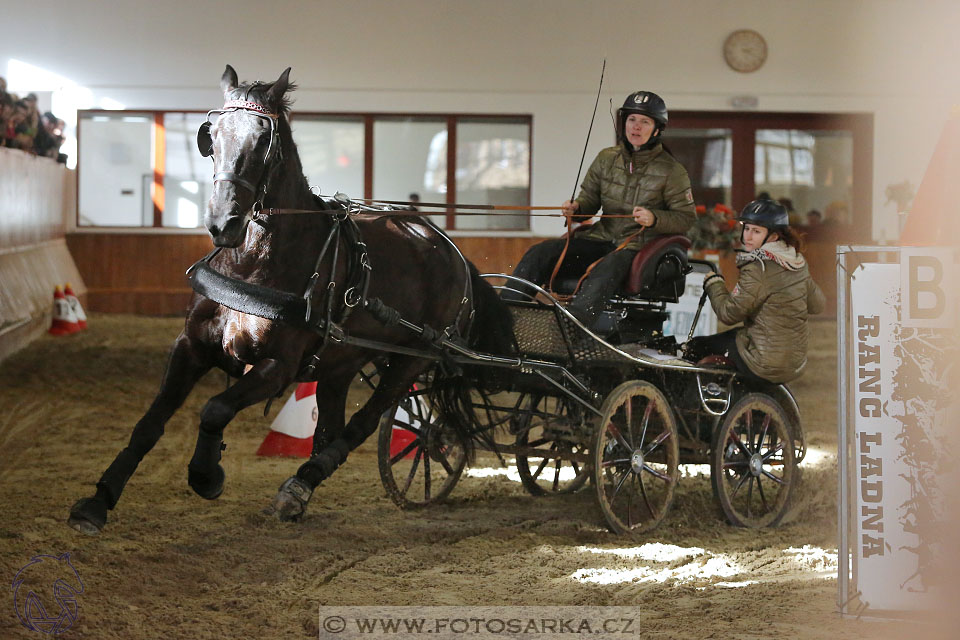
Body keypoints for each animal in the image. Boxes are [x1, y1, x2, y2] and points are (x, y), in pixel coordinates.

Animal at [65, 66, 516, 536]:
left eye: (264, 139)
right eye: (212, 136)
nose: (223, 222)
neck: (253, 264)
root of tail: (450, 248)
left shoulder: (277, 367)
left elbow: (214, 408)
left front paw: (206, 475)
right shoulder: (191, 347)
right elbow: (150, 424)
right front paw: (98, 501)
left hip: (411, 360)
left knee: (361, 425)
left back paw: (297, 488)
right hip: (341, 362)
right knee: (330, 429)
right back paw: (301, 489)